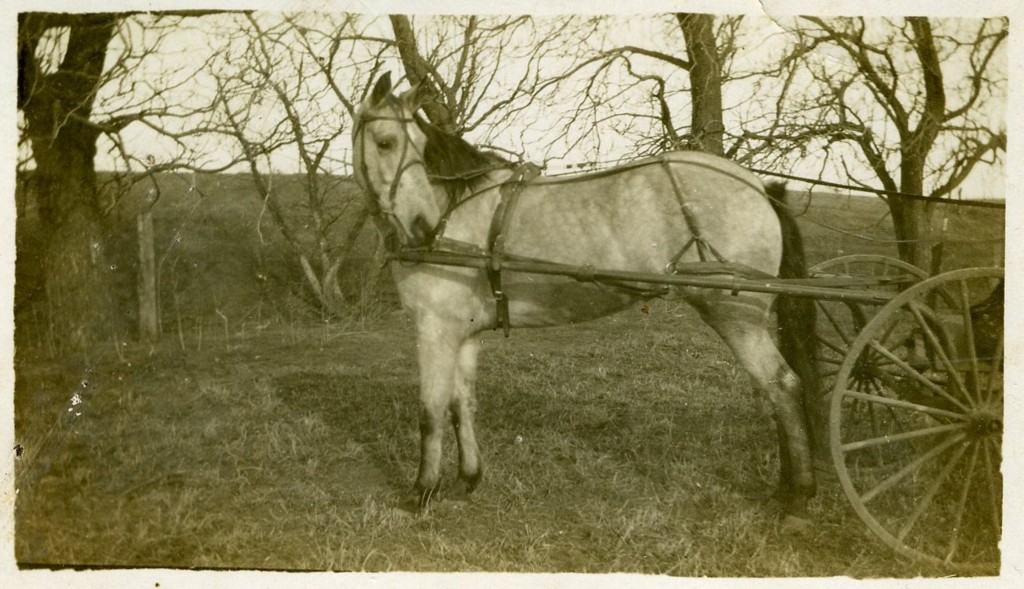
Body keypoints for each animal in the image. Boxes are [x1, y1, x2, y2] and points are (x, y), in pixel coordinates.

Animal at [356, 71, 819, 528]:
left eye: (411, 145)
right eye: (386, 142)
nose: (421, 228)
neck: (454, 213)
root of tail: (758, 185)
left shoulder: (434, 329)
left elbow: (430, 412)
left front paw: (421, 492)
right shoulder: (462, 333)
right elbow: (461, 405)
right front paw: (466, 480)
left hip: (736, 317)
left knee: (783, 386)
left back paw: (799, 498)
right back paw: (786, 489)